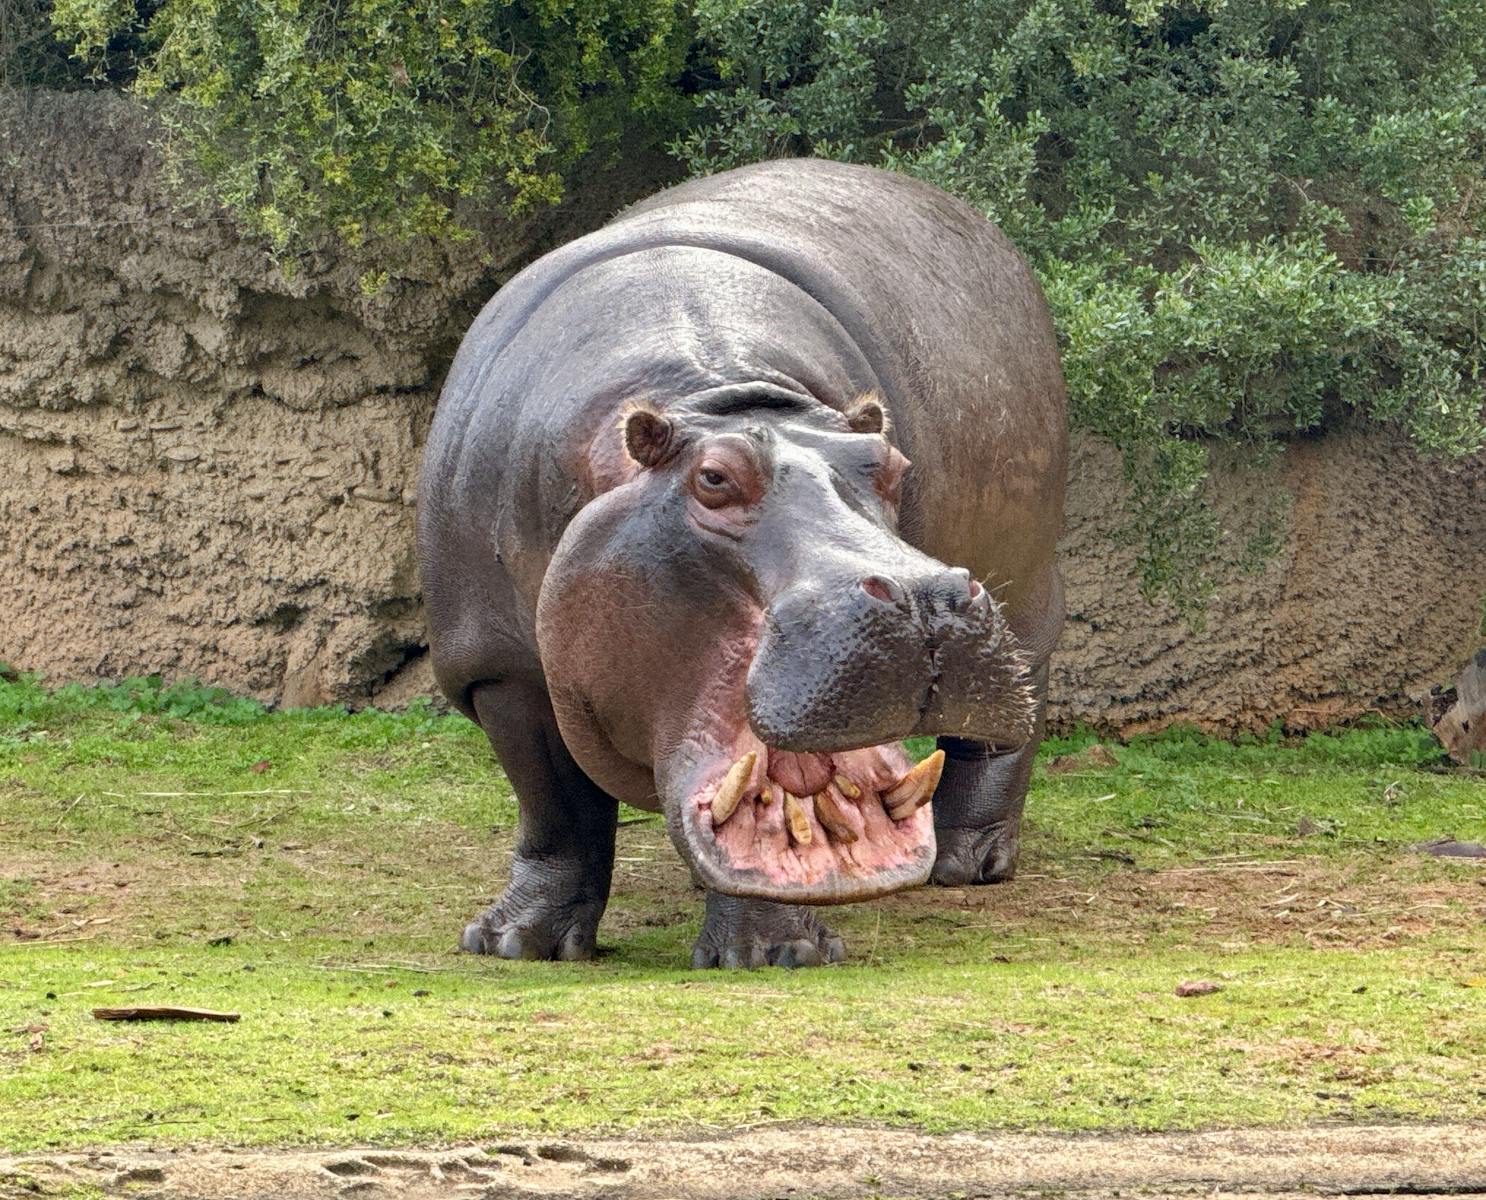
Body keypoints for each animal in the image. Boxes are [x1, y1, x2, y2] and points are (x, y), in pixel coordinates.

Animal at [417, 159, 1066, 968]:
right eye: (714, 479)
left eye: (888, 465)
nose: (927, 597)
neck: (717, 396)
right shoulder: (496, 668)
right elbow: (555, 808)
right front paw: (512, 943)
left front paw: (771, 953)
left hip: (1027, 588)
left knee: (1007, 718)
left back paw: (967, 862)